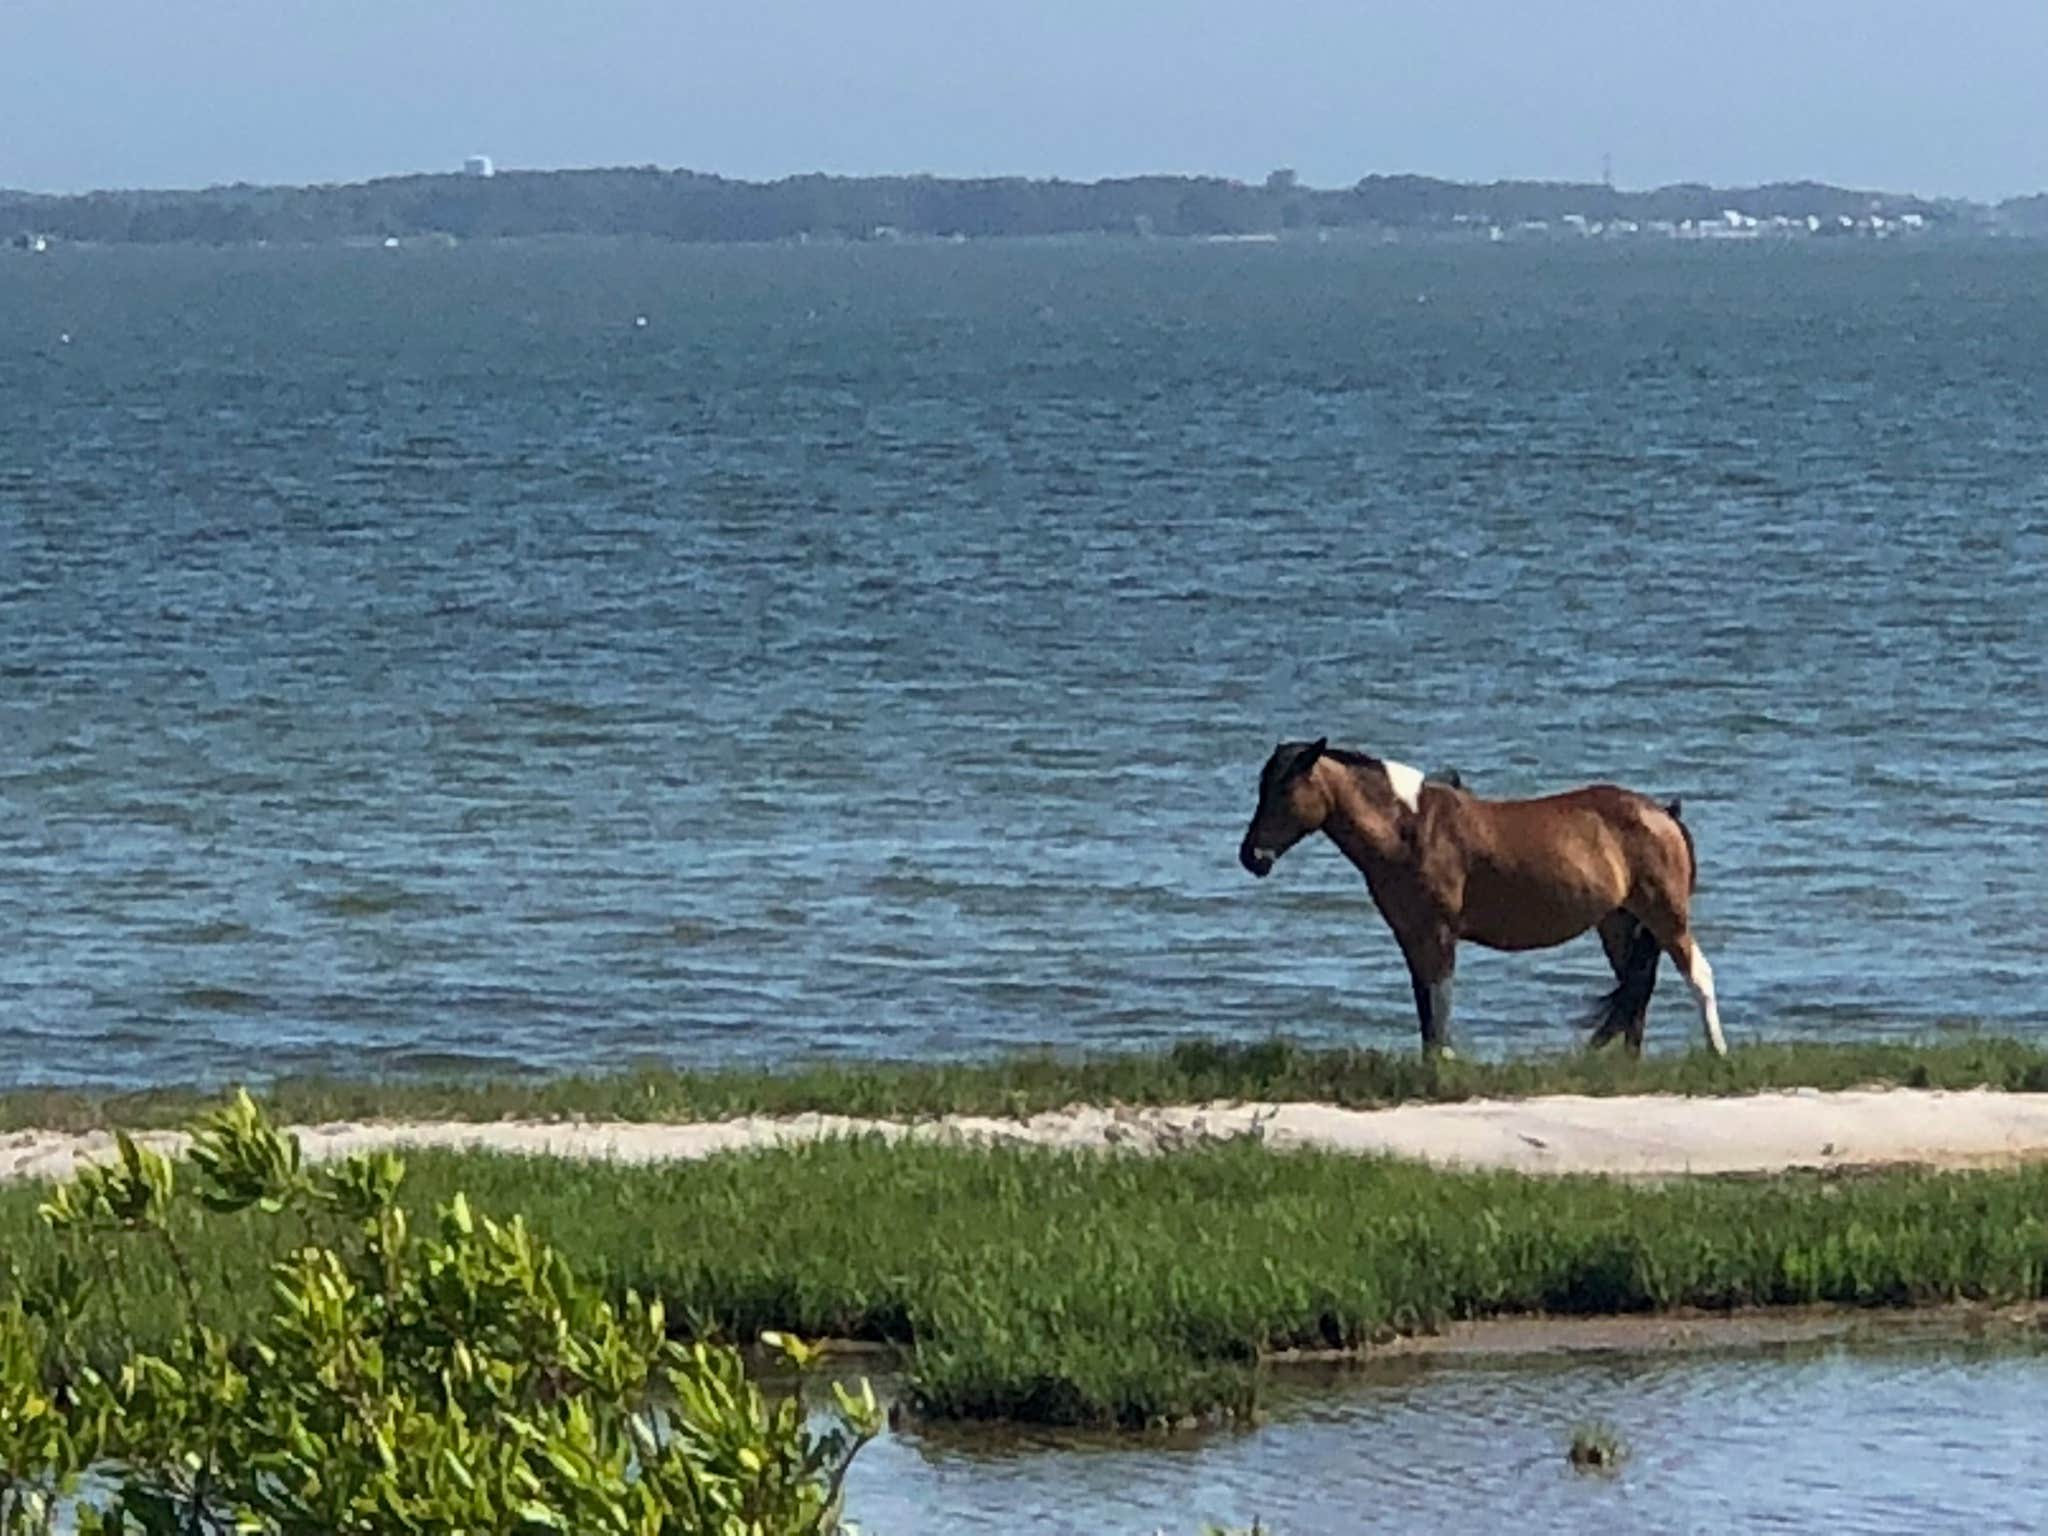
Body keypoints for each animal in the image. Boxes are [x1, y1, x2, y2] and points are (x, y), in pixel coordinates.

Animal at [1237, 738, 1725, 1057]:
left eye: (1284, 789)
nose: (1251, 856)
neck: (1408, 830)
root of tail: (1663, 813)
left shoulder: (1438, 932)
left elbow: (1440, 998)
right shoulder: (1410, 934)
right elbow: (1424, 1002)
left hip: (1666, 915)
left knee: (1696, 975)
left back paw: (1716, 1052)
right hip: (1619, 923)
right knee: (1637, 988)